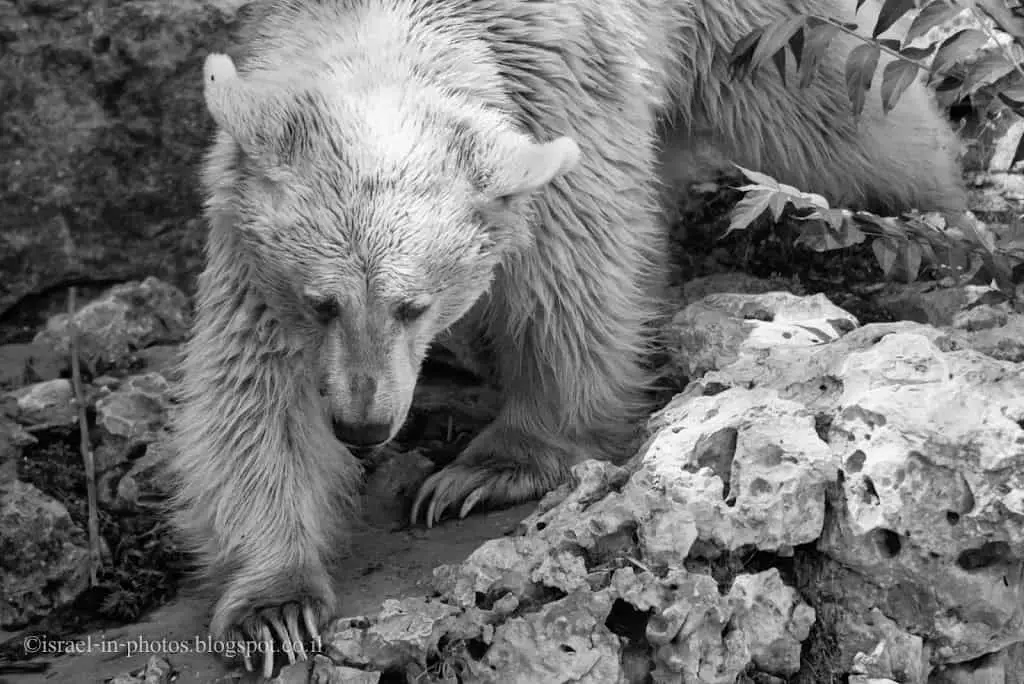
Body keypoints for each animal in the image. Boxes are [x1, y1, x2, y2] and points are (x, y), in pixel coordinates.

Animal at [165, 0, 958, 675]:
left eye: (412, 307)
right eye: (322, 303)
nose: (363, 425)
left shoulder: (562, 104)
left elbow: (571, 291)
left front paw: (482, 472)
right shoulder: (250, 235)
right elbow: (251, 387)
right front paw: (275, 609)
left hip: (748, 36)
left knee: (831, 107)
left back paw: (944, 217)